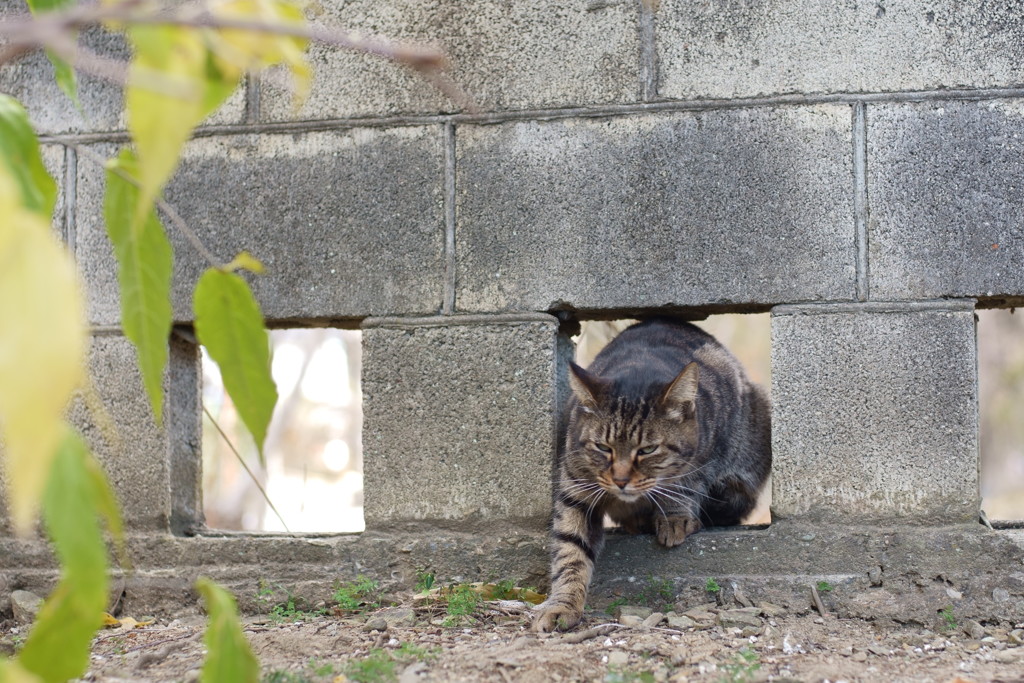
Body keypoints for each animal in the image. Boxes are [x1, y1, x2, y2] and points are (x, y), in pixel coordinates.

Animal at [536, 317, 770, 634]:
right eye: (603, 447)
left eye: (647, 450)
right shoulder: (575, 490)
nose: (621, 480)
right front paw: (562, 605)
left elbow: (683, 483)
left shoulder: (706, 453)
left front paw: (673, 517)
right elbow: (569, 551)